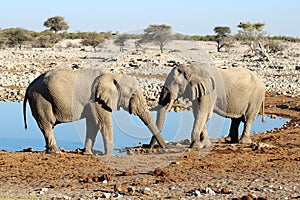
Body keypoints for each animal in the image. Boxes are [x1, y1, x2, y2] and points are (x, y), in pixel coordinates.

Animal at [23, 69, 166, 155]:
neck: (113, 76)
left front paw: (87, 153)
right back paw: (56, 152)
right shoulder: (97, 100)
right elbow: (103, 122)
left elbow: (92, 124)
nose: (165, 147)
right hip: (40, 99)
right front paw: (109, 155)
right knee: (46, 125)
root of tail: (29, 86)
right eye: (133, 95)